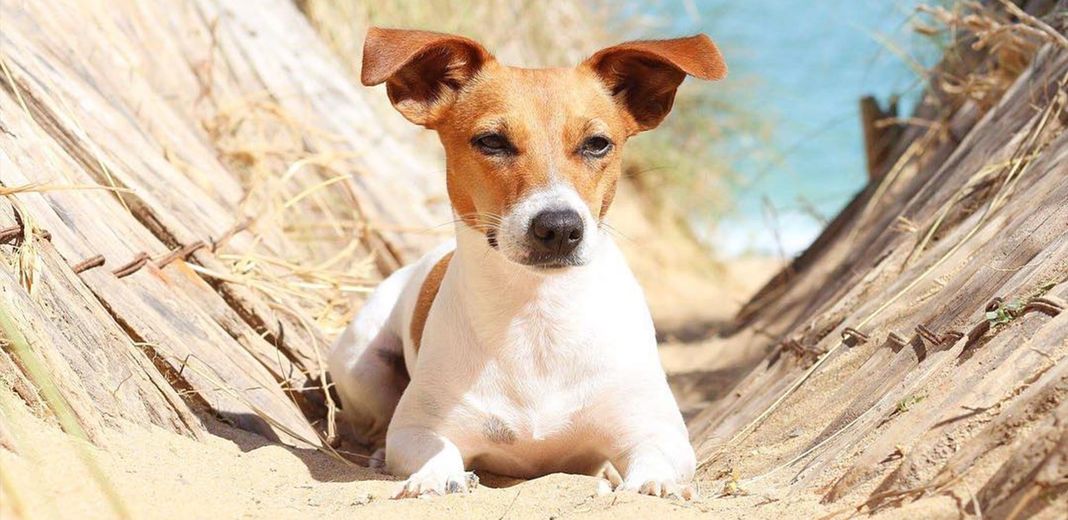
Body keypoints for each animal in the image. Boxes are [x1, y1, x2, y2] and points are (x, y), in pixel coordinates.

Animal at [326, 26, 726, 499]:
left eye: (597, 144)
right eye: (491, 141)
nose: (559, 227)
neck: (537, 314)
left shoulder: (657, 429)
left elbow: (655, 460)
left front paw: (653, 484)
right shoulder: (418, 428)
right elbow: (433, 449)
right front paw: (435, 476)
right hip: (360, 364)